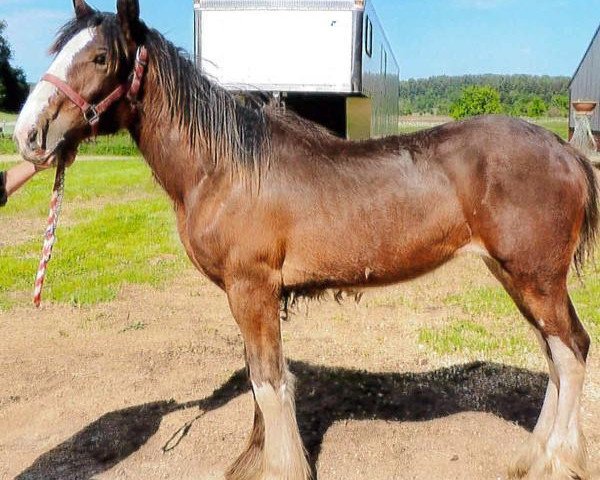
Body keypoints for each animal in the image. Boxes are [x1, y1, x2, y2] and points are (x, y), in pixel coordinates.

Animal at [14, 1, 596, 478]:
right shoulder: (252, 296)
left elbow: (269, 384)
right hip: (515, 276)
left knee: (570, 352)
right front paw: (254, 458)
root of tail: (566, 152)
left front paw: (280, 467)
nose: (27, 135)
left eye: (100, 58)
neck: (225, 168)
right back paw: (530, 458)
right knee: (554, 354)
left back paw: (558, 461)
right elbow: (260, 381)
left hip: (536, 279)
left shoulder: (251, 290)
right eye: (60, 50)